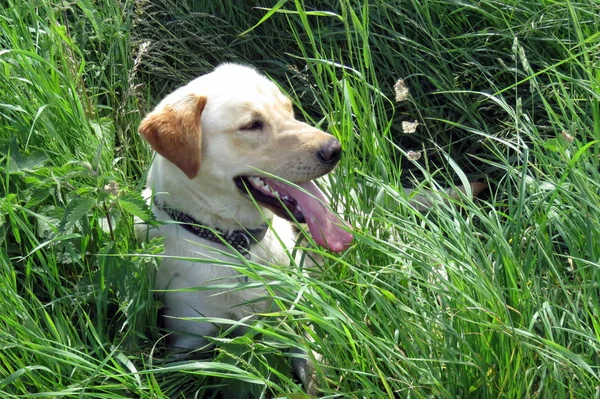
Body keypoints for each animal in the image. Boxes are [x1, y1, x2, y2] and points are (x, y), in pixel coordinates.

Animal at [136, 65, 352, 390]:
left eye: (289, 110)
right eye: (251, 125)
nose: (335, 149)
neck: (238, 243)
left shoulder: (297, 311)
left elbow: (313, 361)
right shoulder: (188, 340)